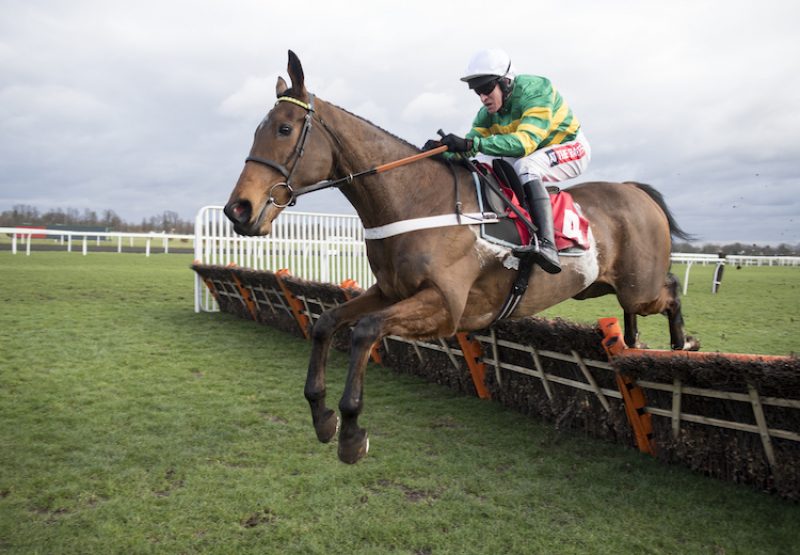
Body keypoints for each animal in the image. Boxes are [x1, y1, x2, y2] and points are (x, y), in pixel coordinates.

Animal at [222, 51, 696, 464]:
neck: (414, 199)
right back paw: (635, 342)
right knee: (640, 307)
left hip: (640, 287)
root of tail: (635, 190)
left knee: (670, 290)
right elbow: (326, 322)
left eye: (284, 129)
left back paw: (682, 346)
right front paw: (322, 416)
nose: (238, 210)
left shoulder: (445, 307)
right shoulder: (390, 291)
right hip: (601, 287)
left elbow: (364, 332)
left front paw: (352, 431)